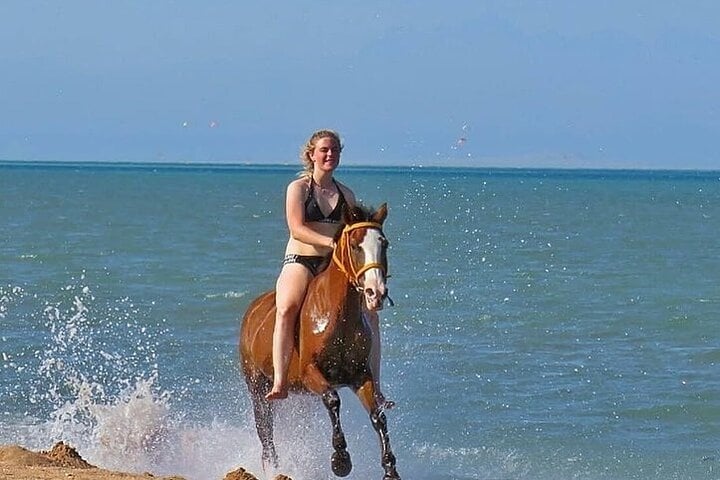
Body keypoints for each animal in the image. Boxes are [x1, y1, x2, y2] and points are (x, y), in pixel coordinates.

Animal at [239, 203, 401, 480]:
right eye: (355, 245)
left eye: (385, 243)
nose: (376, 292)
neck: (338, 316)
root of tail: (252, 311)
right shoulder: (310, 373)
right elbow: (333, 400)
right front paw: (341, 460)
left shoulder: (360, 376)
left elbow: (377, 416)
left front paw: (390, 469)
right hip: (258, 388)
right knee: (266, 432)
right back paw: (273, 467)